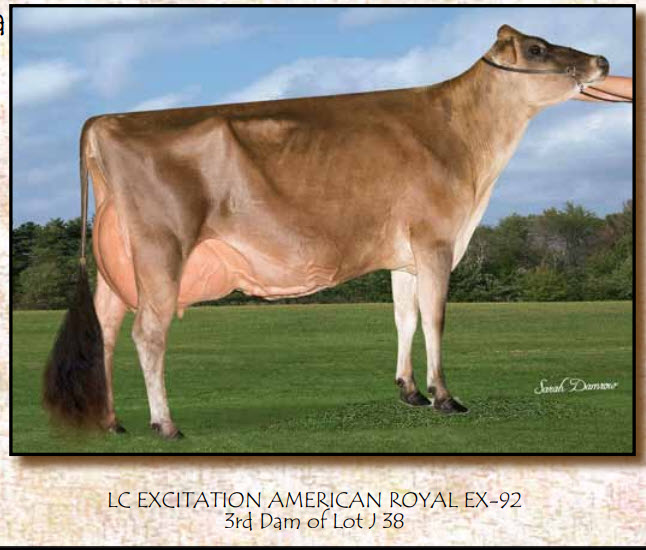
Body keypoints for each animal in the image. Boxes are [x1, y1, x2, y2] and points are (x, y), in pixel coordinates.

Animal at [44, 25, 611, 439]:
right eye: (537, 49)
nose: (602, 62)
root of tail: (106, 120)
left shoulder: (406, 253)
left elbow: (405, 318)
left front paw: (409, 391)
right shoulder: (435, 240)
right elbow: (435, 320)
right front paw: (445, 398)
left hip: (118, 259)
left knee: (106, 327)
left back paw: (112, 421)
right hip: (162, 246)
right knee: (147, 331)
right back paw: (164, 424)